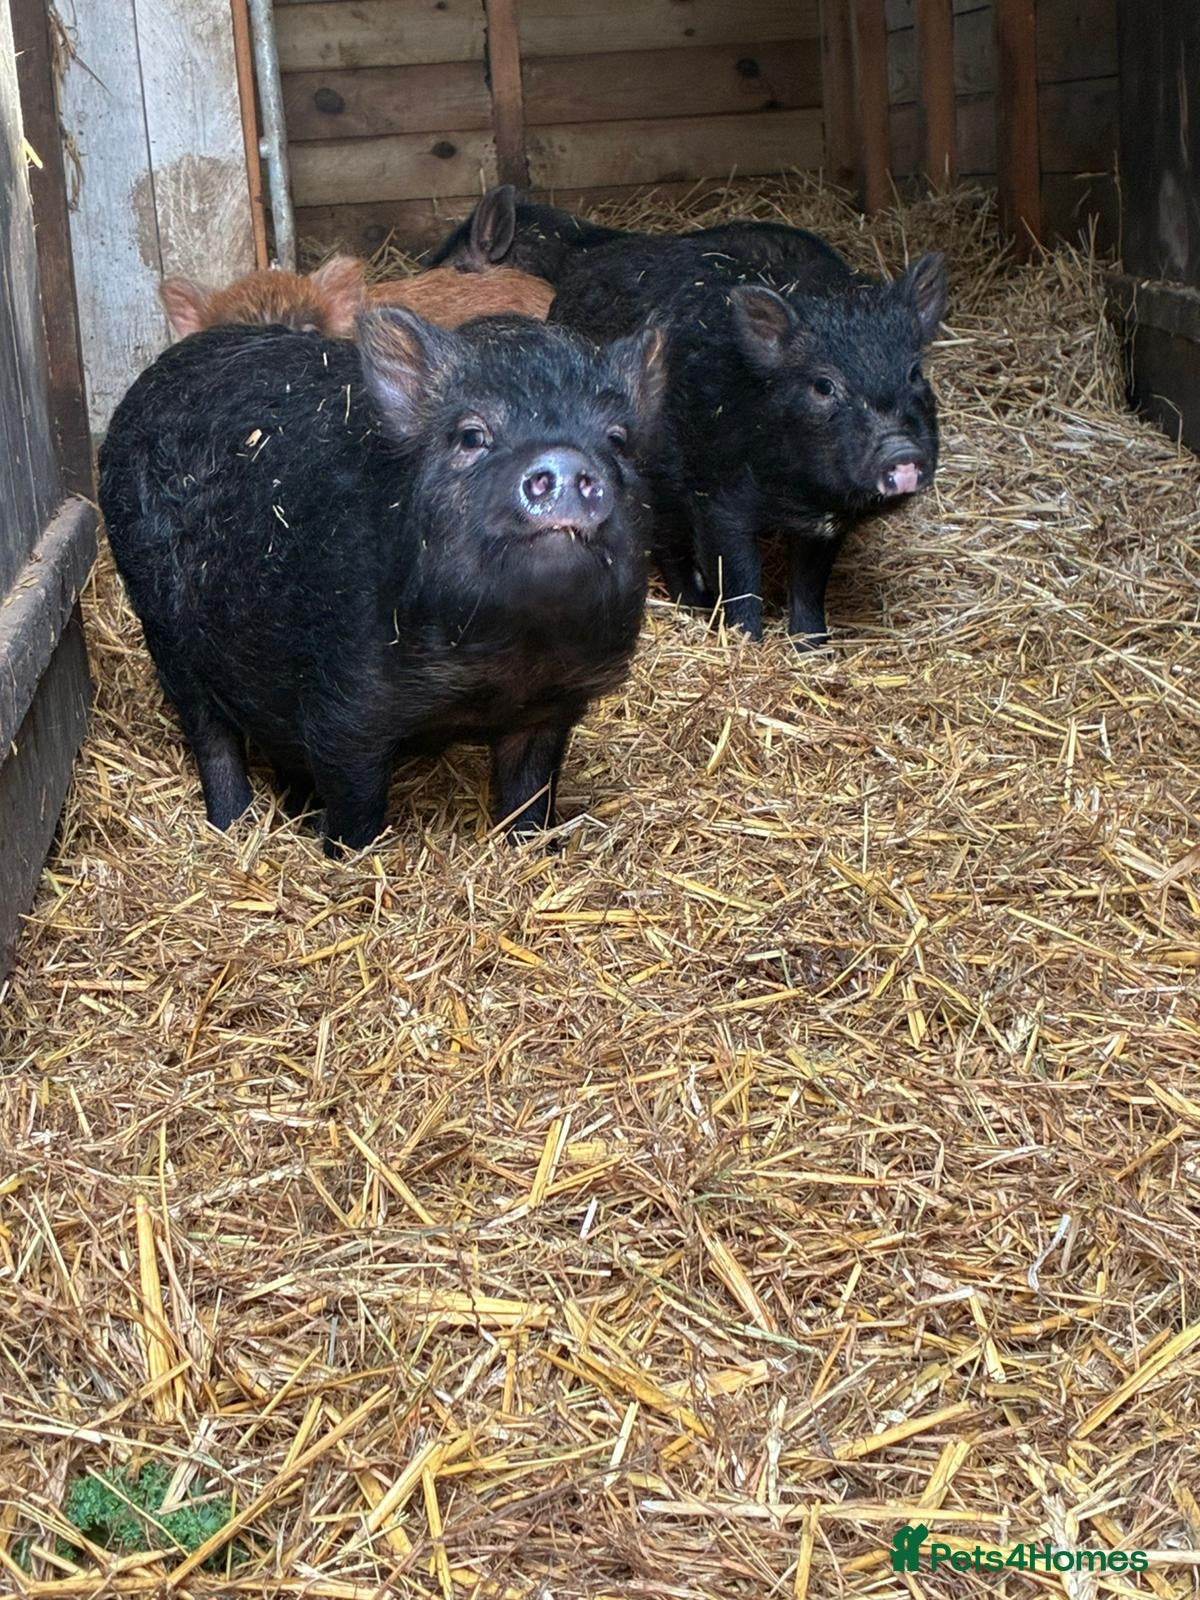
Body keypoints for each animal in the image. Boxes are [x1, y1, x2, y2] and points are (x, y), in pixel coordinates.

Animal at [98, 310, 665, 851]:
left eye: (618, 440)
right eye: (471, 435)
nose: (566, 460)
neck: (504, 661)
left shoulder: (549, 705)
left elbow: (529, 794)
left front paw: (531, 847)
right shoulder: (346, 707)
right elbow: (356, 805)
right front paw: (344, 854)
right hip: (165, 630)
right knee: (210, 733)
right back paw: (232, 824)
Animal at [550, 235, 947, 647]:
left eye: (914, 373)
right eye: (824, 385)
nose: (901, 450)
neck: (798, 494)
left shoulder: (826, 523)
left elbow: (809, 582)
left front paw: (812, 647)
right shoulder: (717, 499)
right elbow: (738, 575)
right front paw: (746, 640)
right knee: (667, 545)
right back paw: (696, 603)